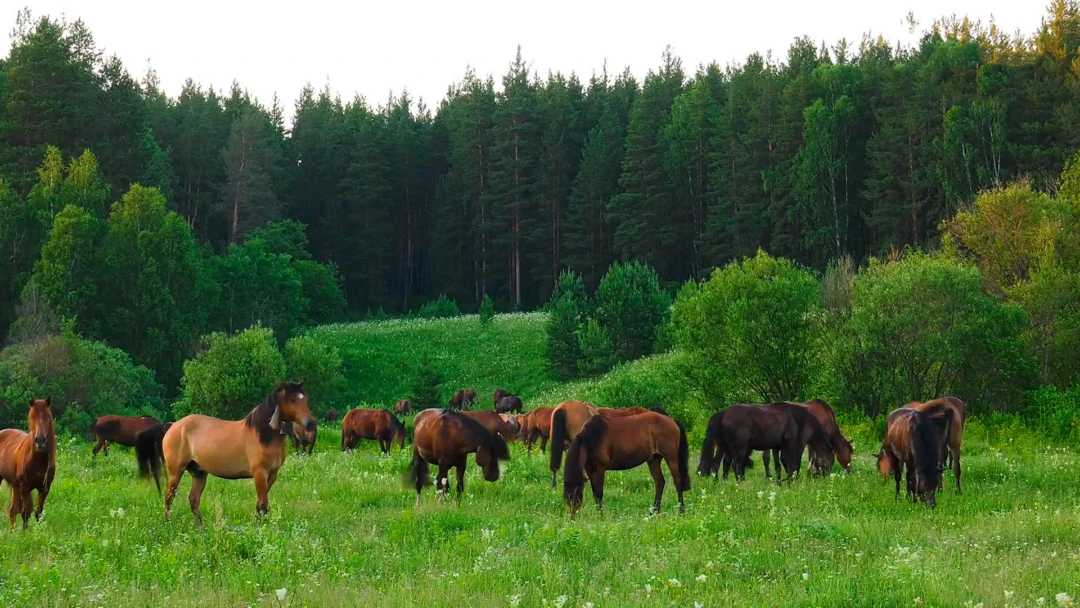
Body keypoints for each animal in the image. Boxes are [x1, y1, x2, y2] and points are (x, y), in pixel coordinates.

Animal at [0, 398, 56, 529]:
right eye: (32, 416)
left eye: (47, 417)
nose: (40, 440)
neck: (37, 460)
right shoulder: (25, 488)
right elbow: (26, 512)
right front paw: (25, 533)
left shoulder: (45, 488)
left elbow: (38, 511)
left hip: (15, 485)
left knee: (12, 510)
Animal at [136, 381, 315, 526]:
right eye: (292, 400)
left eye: (305, 399)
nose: (310, 423)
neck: (262, 435)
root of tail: (173, 425)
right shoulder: (260, 474)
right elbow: (263, 504)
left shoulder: (272, 474)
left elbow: (260, 504)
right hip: (176, 472)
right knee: (169, 496)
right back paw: (168, 522)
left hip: (199, 473)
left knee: (193, 499)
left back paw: (200, 527)